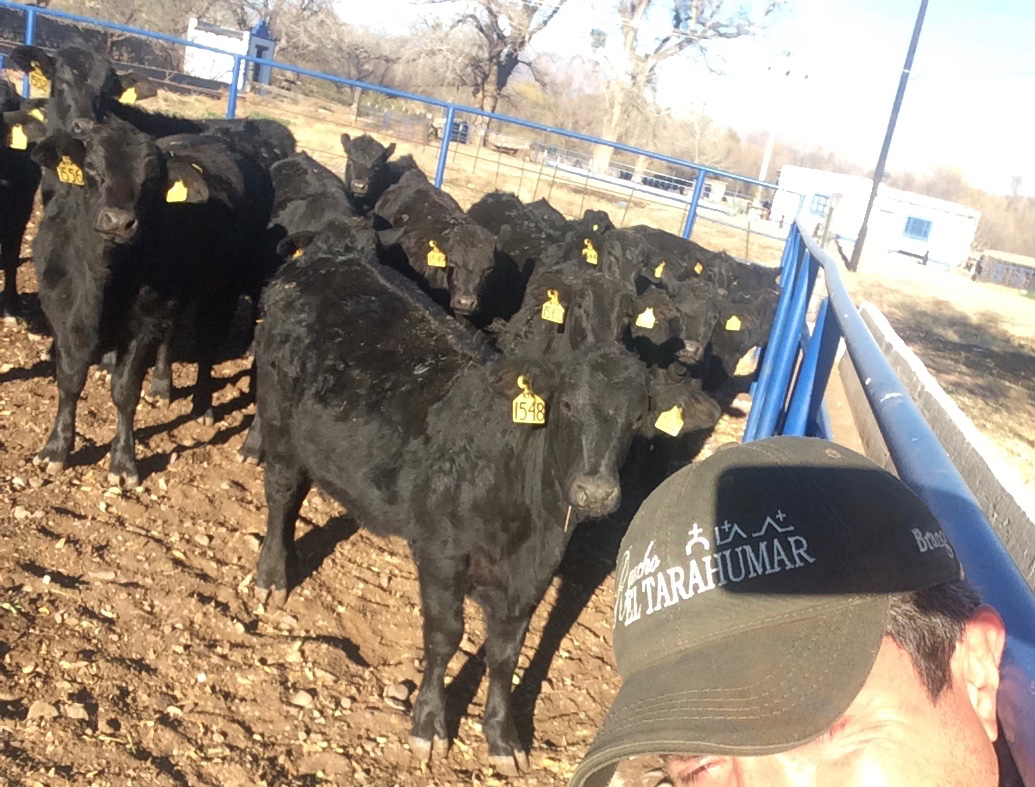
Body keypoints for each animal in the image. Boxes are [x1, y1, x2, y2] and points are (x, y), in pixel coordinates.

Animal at [30, 117, 273, 485]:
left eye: (151, 181)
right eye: (92, 168)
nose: (119, 221)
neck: (101, 280)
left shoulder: (142, 325)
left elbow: (124, 392)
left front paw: (123, 462)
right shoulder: (64, 316)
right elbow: (70, 382)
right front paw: (55, 449)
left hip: (222, 291)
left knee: (207, 346)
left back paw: (202, 405)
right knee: (170, 336)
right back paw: (161, 386)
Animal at [252, 239, 652, 775]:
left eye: (636, 417)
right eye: (567, 406)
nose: (596, 492)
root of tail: (324, 260)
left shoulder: (534, 573)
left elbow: (506, 653)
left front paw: (503, 738)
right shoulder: (441, 554)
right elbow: (445, 635)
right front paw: (429, 726)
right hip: (276, 417)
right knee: (280, 492)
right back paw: (274, 575)